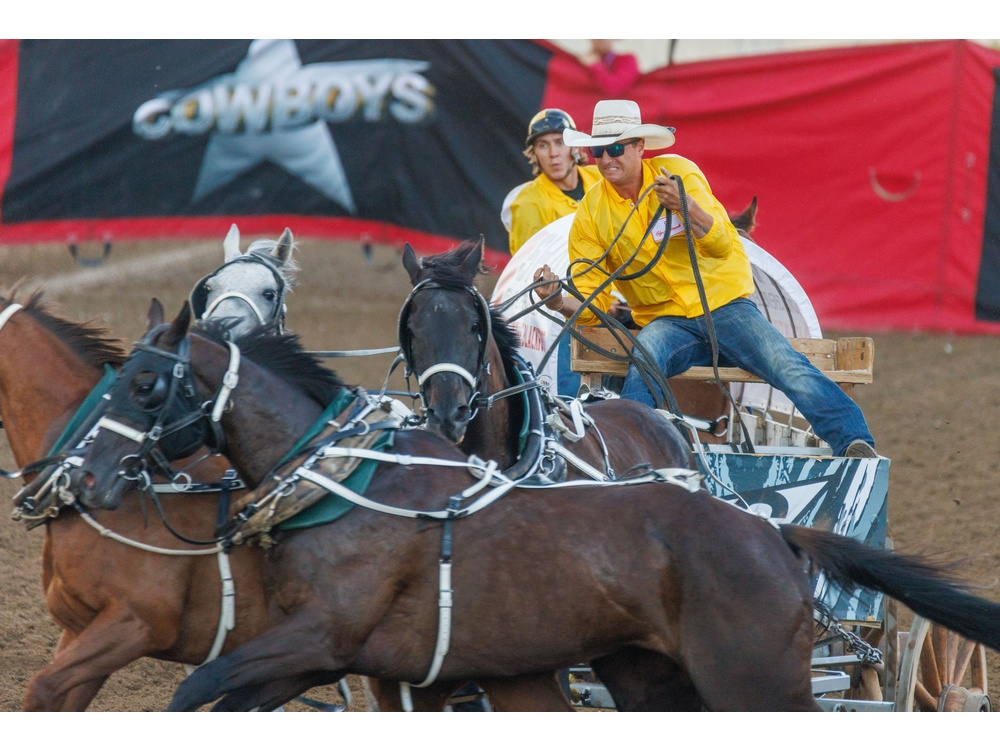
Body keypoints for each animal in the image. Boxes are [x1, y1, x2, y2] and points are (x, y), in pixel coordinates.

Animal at [68, 304, 1000, 712]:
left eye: (145, 385)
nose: (87, 477)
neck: (350, 486)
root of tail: (775, 529)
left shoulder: (321, 638)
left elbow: (197, 690)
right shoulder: (326, 657)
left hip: (756, 681)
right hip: (654, 676)